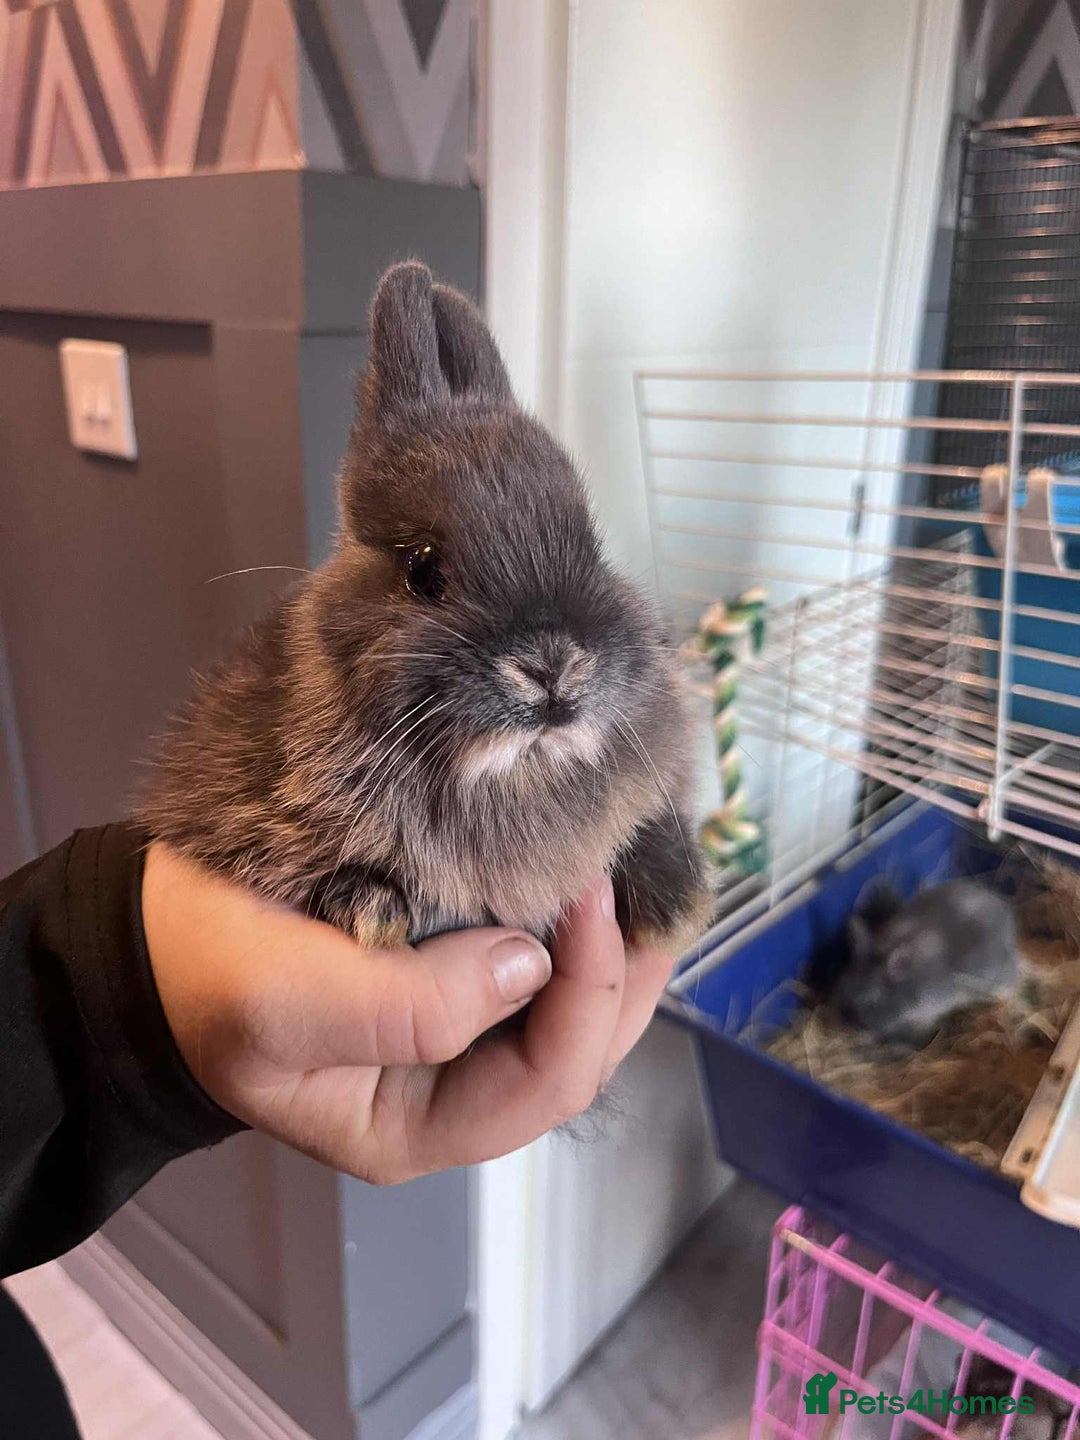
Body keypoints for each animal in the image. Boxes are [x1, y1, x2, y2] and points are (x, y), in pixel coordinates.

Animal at [138, 262, 707, 959]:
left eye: (592, 548)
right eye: (423, 570)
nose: (553, 668)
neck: (513, 775)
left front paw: (675, 905)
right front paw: (372, 907)